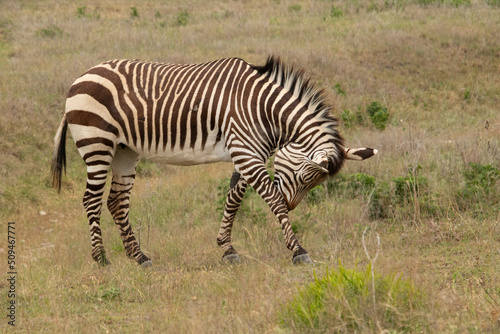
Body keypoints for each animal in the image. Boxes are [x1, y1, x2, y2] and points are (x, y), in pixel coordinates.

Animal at [50, 56, 376, 266]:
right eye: (305, 178)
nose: (293, 203)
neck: (264, 110)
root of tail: (80, 77)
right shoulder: (246, 152)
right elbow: (271, 199)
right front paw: (297, 250)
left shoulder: (248, 153)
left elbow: (234, 198)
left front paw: (227, 249)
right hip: (97, 142)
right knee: (91, 200)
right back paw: (101, 258)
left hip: (124, 150)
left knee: (116, 201)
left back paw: (139, 256)